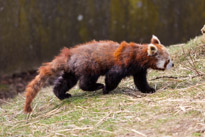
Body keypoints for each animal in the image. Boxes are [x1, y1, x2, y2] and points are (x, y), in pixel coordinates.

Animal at [24, 35, 174, 112]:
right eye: (167, 60)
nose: (173, 64)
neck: (139, 56)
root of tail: (69, 54)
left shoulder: (138, 70)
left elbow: (140, 82)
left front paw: (148, 90)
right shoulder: (123, 63)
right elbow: (112, 77)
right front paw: (106, 89)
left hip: (72, 70)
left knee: (65, 82)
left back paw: (61, 94)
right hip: (89, 66)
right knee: (84, 82)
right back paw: (97, 86)